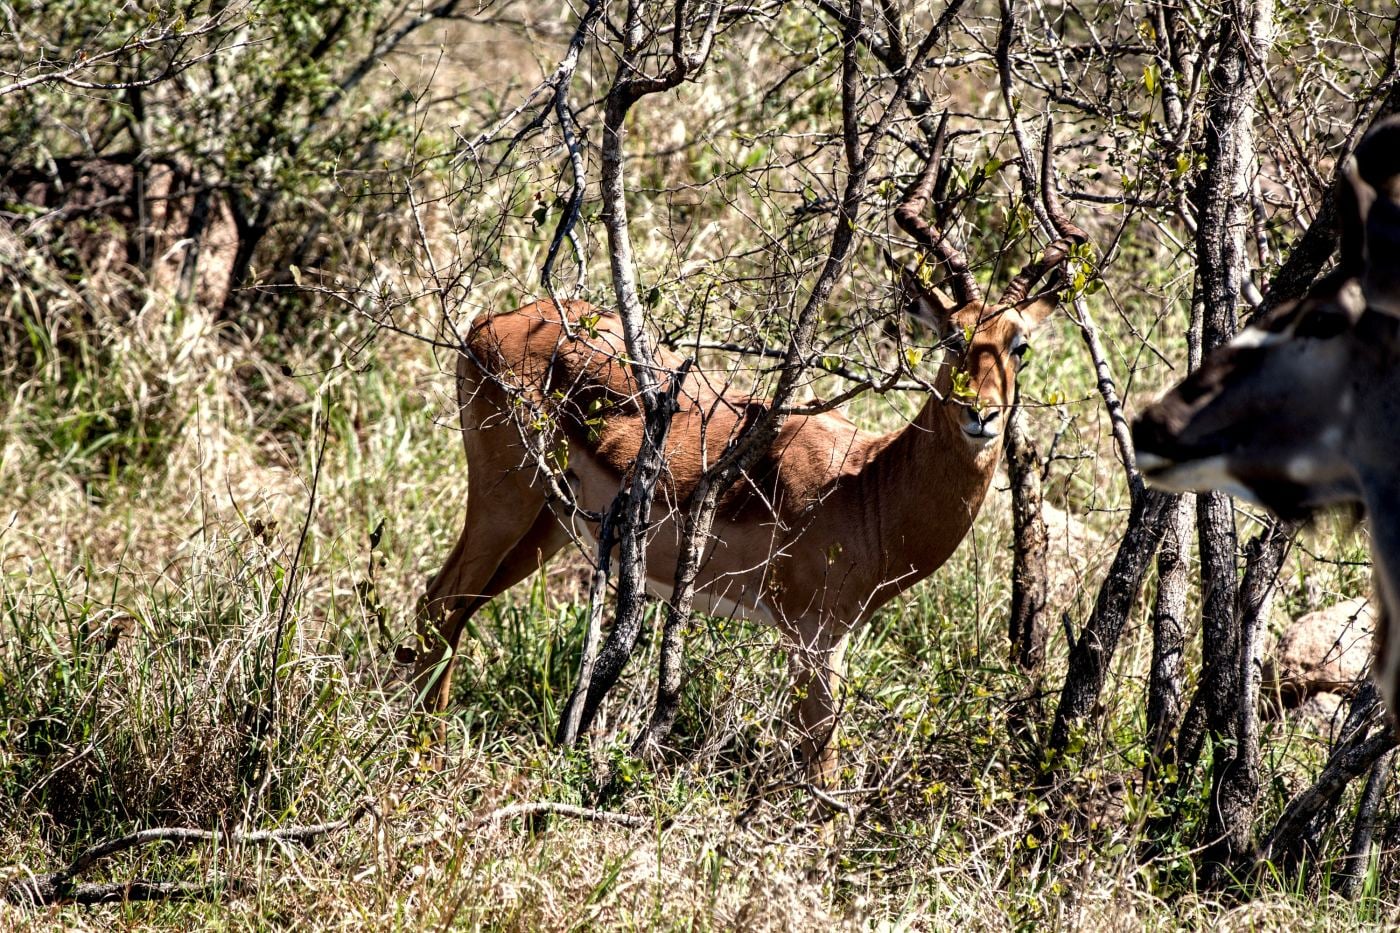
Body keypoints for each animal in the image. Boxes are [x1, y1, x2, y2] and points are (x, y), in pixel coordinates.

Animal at [404, 122, 1087, 784]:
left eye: (1019, 345)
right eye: (951, 339)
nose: (982, 415)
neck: (864, 485)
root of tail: (493, 321)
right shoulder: (815, 639)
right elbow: (821, 766)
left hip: (549, 525)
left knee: (455, 611)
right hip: (507, 499)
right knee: (438, 603)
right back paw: (423, 759)